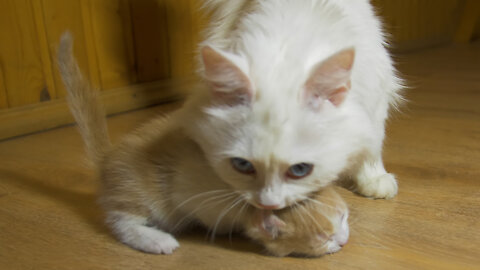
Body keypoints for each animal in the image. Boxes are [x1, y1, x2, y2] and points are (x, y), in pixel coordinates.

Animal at [57, 0, 402, 255]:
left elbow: (372, 142)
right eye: (242, 166)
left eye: (300, 170)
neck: (285, 54)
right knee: (119, 217)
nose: (268, 205)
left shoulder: (375, 93)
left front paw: (374, 178)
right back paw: (157, 240)